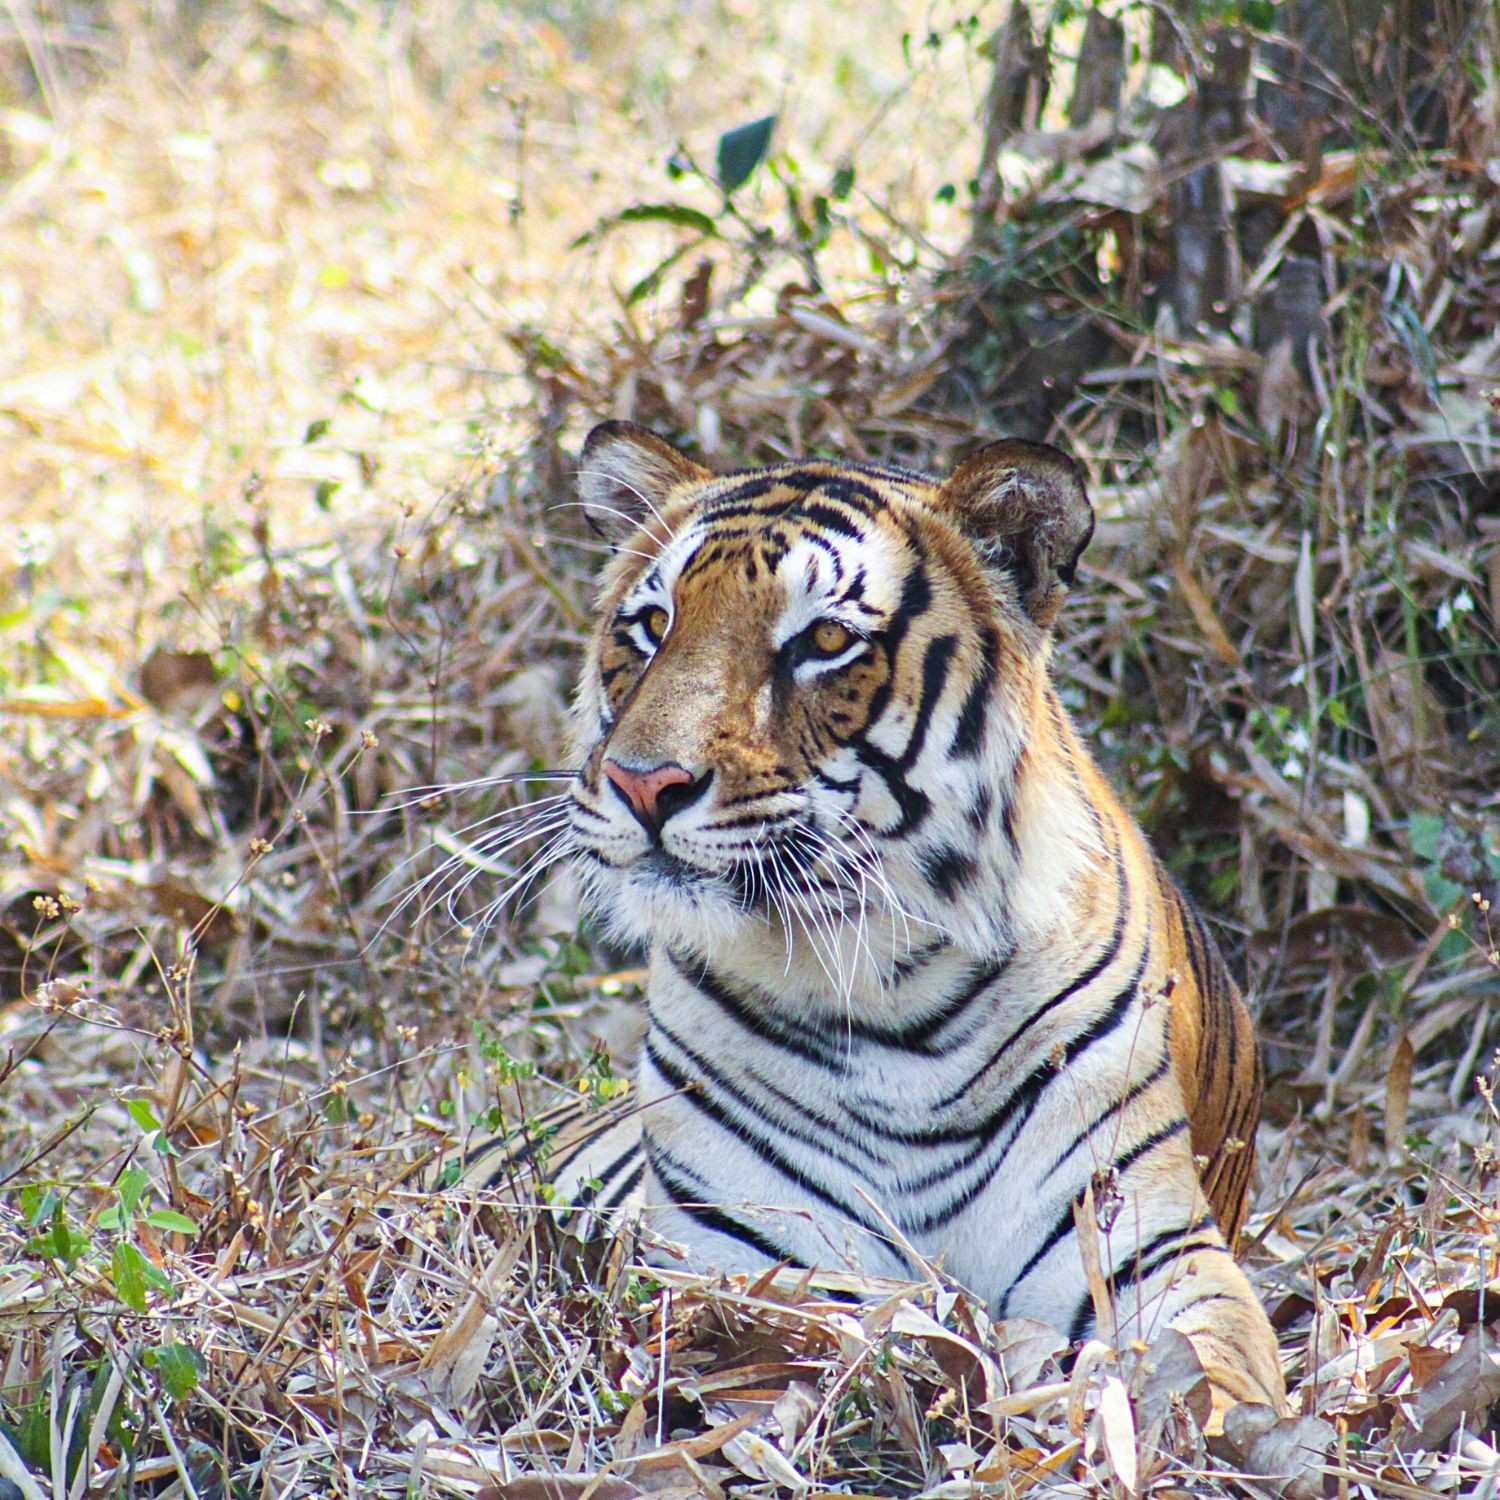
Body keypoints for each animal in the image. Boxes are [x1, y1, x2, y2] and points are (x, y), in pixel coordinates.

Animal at [450, 423, 1284, 1428]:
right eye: (652, 625)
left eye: (824, 639)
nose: (643, 783)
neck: (892, 990)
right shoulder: (742, 1261)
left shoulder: (1149, 1249)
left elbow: (1210, 1378)